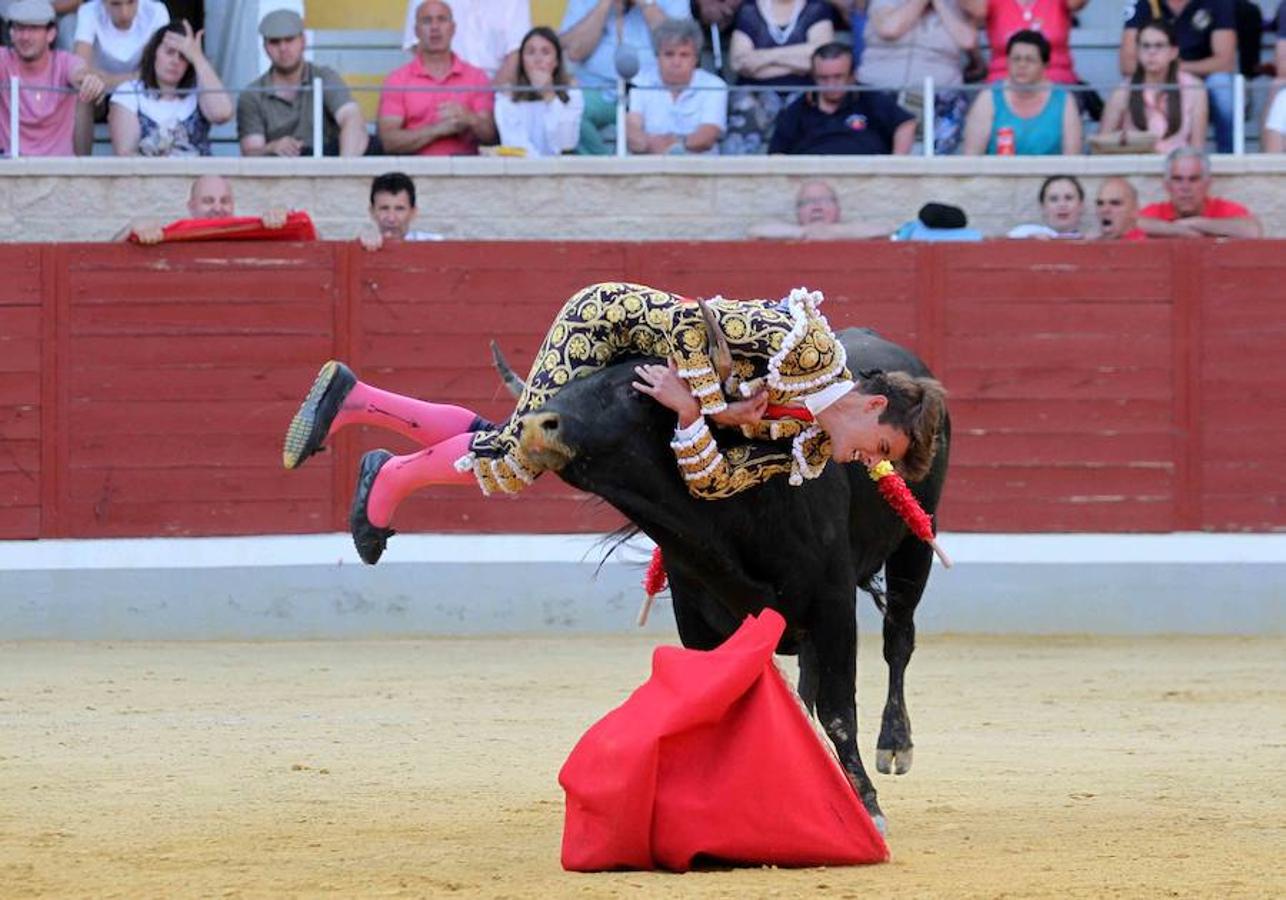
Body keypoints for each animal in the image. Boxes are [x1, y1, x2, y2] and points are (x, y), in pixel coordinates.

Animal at [506, 331, 951, 828]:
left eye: (631, 391)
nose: (535, 425)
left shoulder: (834, 604)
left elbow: (840, 708)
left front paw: (867, 804)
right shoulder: (695, 614)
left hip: (917, 541)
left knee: (898, 637)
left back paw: (894, 744)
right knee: (810, 675)